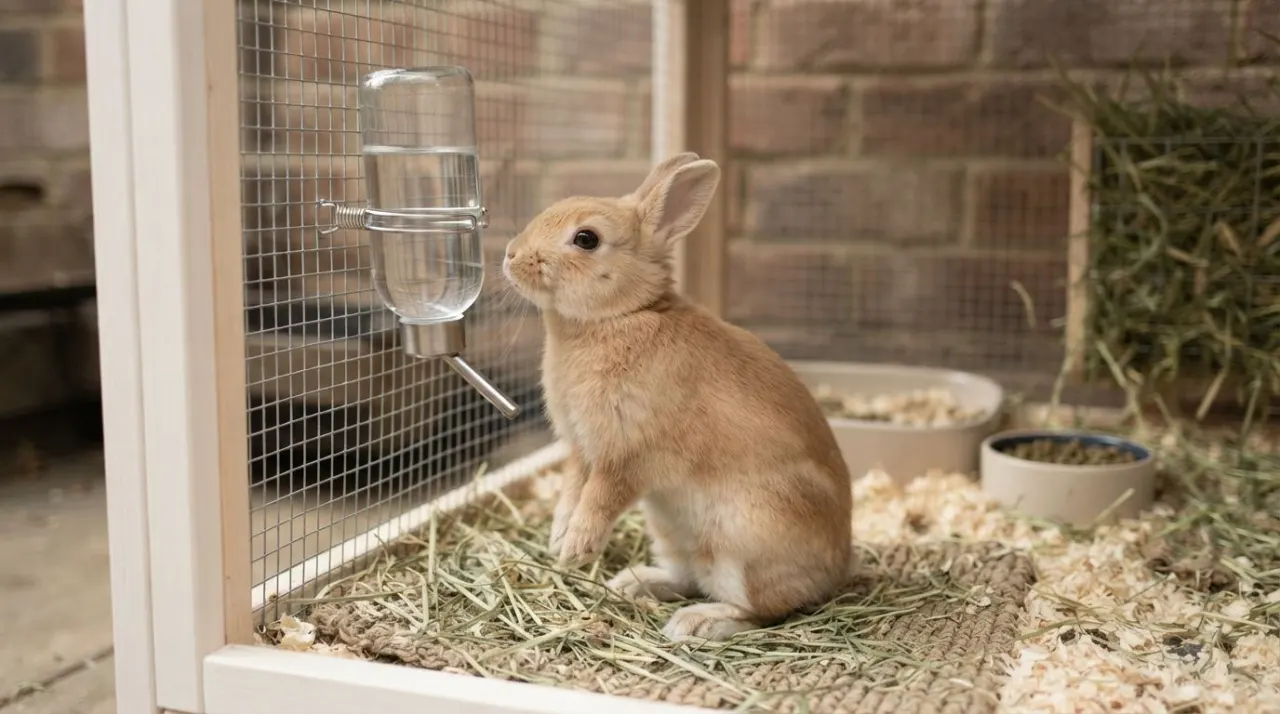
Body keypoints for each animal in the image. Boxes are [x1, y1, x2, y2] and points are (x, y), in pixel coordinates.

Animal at [501, 152, 854, 642]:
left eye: (586, 239)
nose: (510, 254)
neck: (620, 316)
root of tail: (838, 570)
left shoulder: (624, 455)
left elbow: (599, 500)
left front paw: (575, 549)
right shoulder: (581, 449)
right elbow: (572, 490)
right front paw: (557, 537)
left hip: (741, 543)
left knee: (762, 609)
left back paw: (697, 622)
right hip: (669, 530)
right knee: (687, 577)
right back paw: (634, 583)